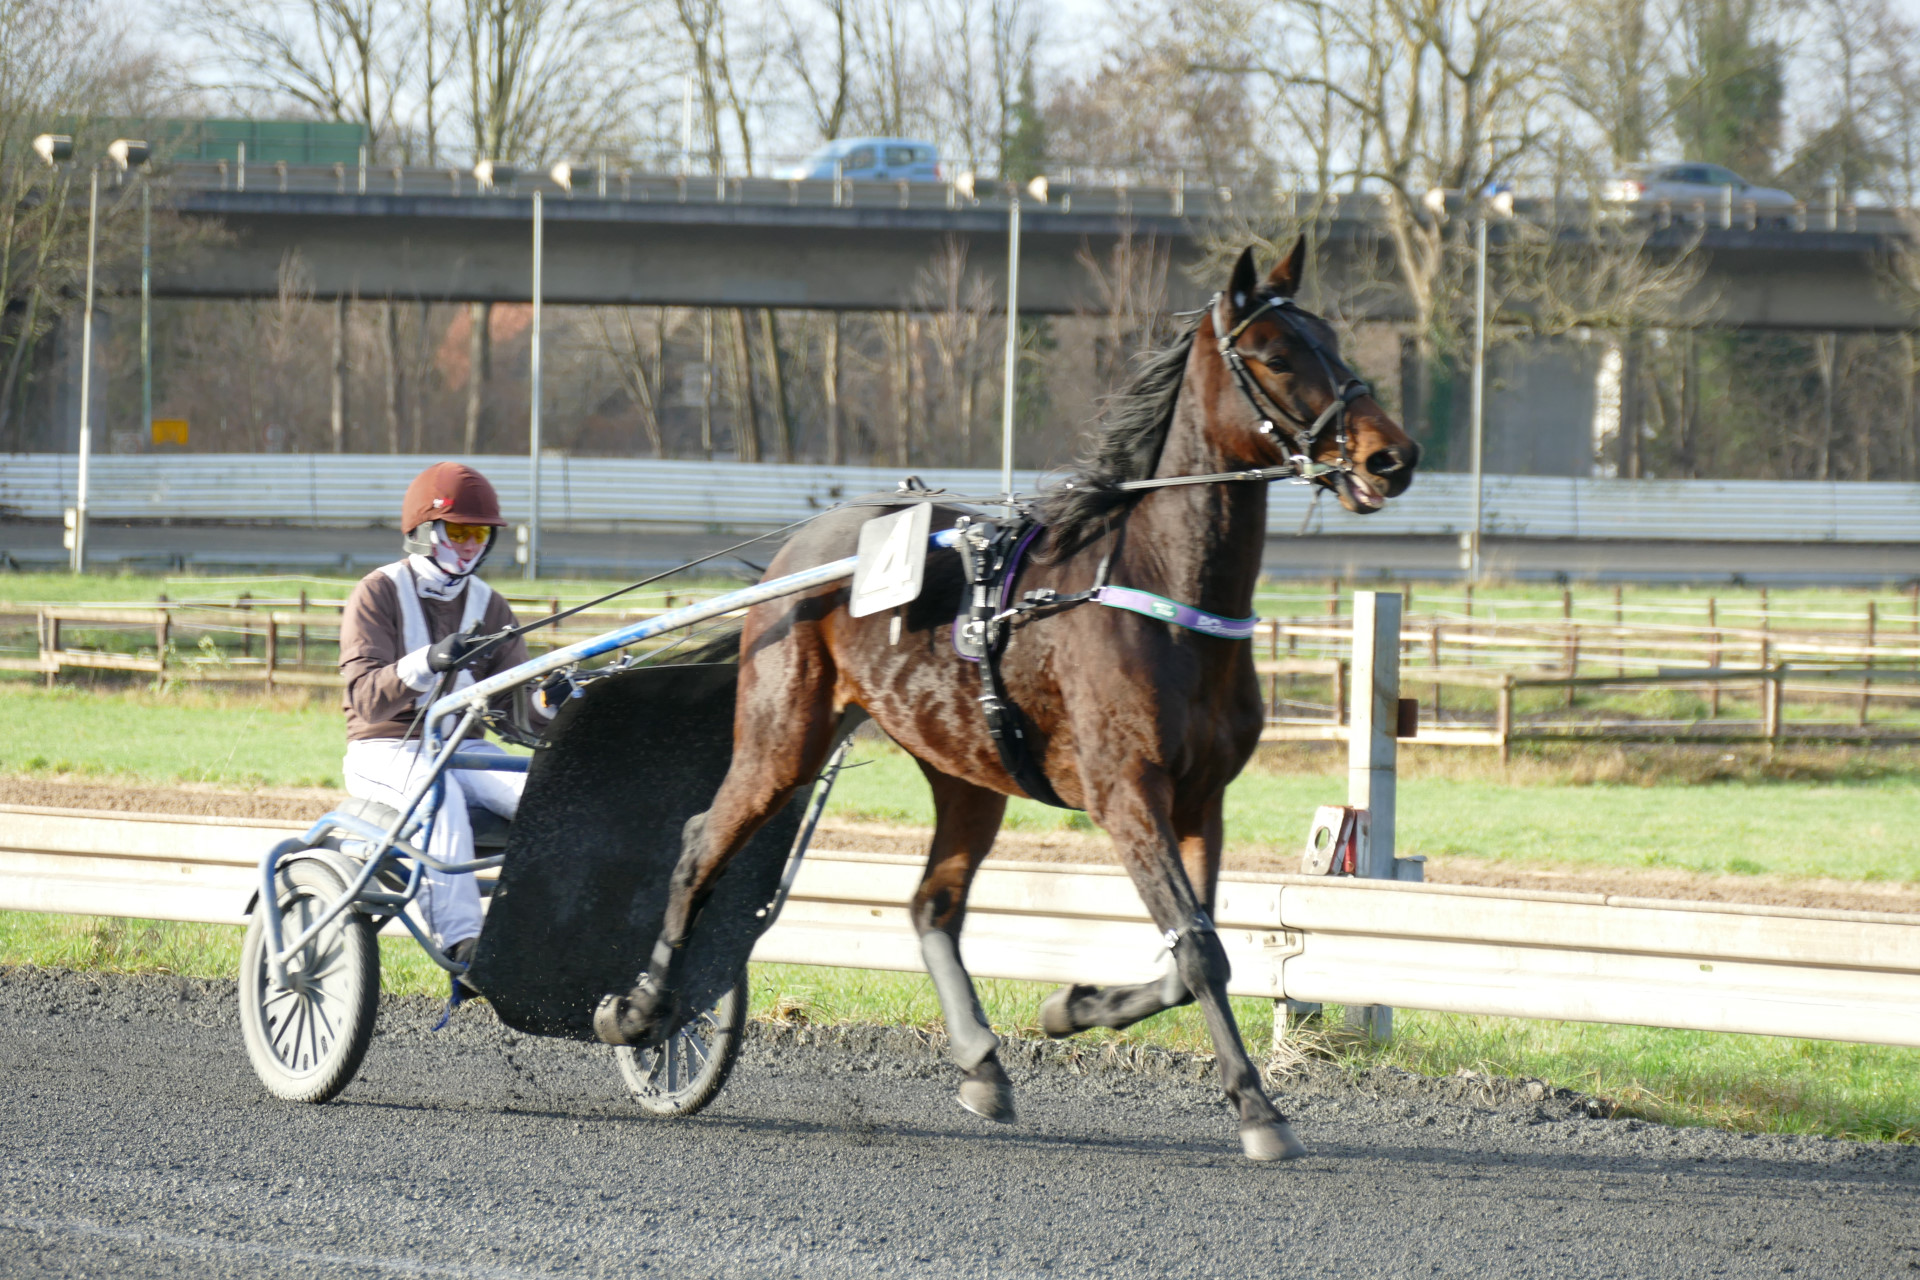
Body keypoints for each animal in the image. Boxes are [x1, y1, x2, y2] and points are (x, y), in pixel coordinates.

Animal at [595, 237, 1420, 1161]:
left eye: (1335, 341)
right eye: (1276, 354)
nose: (1392, 455)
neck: (1163, 586)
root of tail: (799, 550)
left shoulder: (1202, 795)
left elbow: (1191, 953)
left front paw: (1073, 1007)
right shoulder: (1125, 789)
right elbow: (1201, 954)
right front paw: (1257, 1109)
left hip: (963, 769)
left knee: (932, 904)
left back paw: (981, 1063)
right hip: (783, 738)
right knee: (699, 845)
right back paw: (642, 1014)